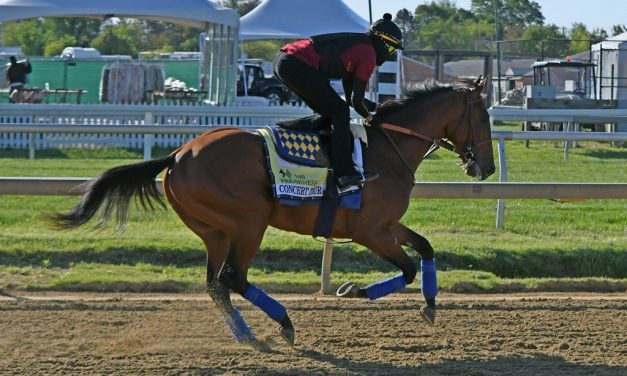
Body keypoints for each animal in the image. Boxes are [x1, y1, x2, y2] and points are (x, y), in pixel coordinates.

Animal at [51, 78, 496, 348]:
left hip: (214, 231)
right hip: (249, 222)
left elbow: (425, 247)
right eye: (484, 115)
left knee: (216, 284)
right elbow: (406, 268)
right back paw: (283, 323)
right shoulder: (370, 230)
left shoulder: (385, 224)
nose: (488, 168)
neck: (387, 149)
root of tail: (177, 154)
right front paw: (354, 290)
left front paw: (431, 303)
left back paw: (248, 337)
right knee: (232, 277)